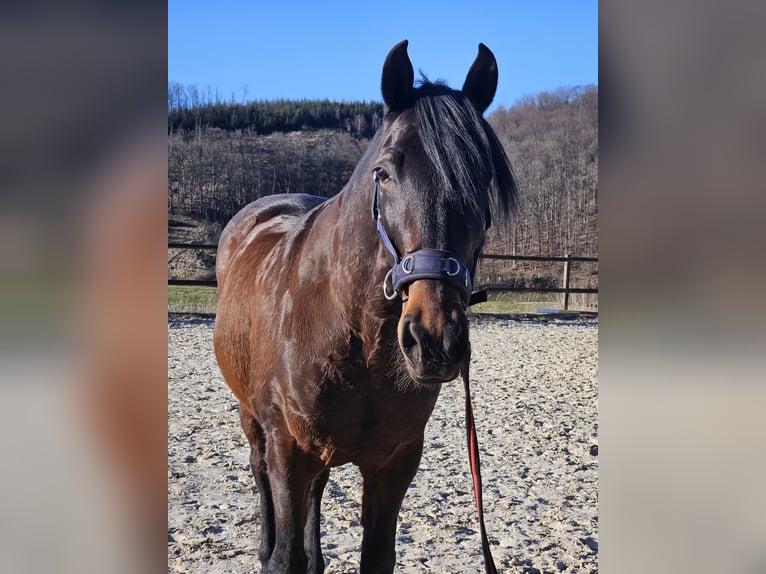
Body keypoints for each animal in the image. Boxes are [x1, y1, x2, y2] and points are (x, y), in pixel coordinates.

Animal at [213, 41, 520, 574]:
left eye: (481, 180)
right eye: (384, 172)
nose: (434, 340)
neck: (355, 337)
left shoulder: (394, 462)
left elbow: (375, 555)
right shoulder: (287, 450)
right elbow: (286, 556)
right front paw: (279, 553)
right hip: (253, 419)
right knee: (258, 471)